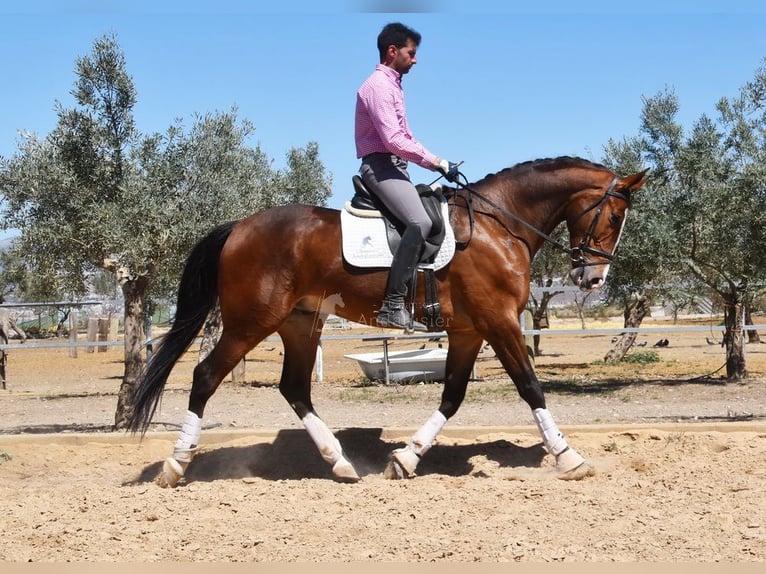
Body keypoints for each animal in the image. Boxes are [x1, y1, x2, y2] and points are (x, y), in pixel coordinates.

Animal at [130, 156, 648, 486]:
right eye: (614, 216)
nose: (592, 278)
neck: (499, 226)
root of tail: (238, 227)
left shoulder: (468, 331)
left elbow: (452, 396)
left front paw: (406, 458)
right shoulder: (500, 322)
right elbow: (530, 386)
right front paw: (569, 456)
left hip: (300, 324)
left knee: (295, 388)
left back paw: (340, 464)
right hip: (250, 323)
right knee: (205, 376)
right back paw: (176, 466)